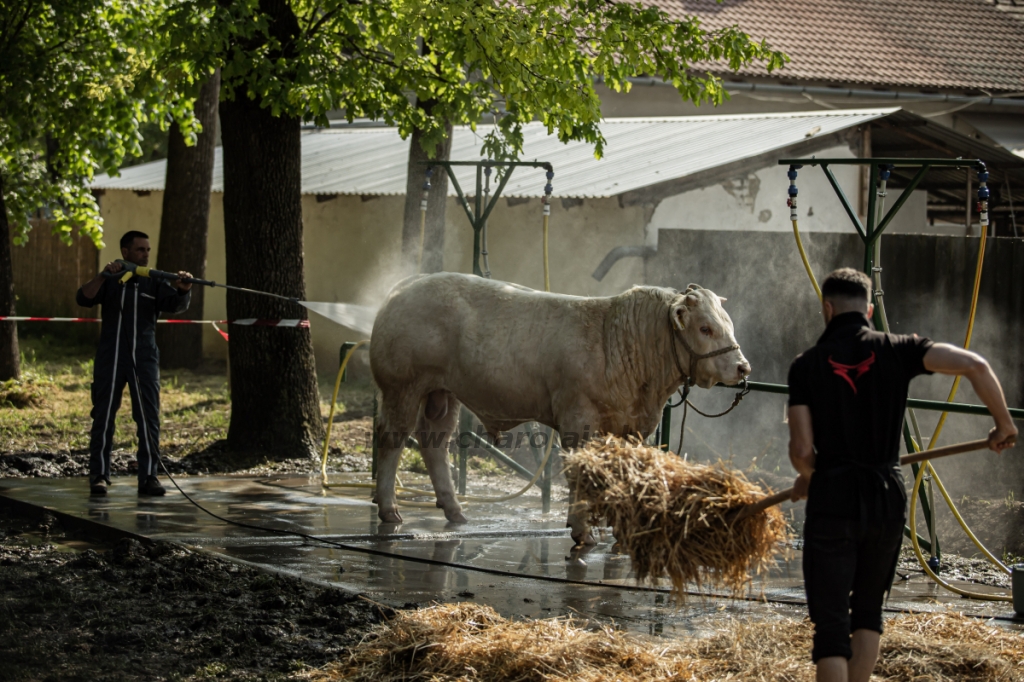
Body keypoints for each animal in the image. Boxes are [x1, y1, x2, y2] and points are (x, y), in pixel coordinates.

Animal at [370, 270, 753, 540]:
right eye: (705, 328)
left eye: (728, 324)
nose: (743, 368)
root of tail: (406, 286)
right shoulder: (577, 418)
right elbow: (580, 473)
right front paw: (582, 531)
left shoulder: (630, 429)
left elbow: (616, 476)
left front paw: (615, 531)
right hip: (404, 387)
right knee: (393, 439)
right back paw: (389, 509)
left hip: (442, 393)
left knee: (435, 443)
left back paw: (454, 510)